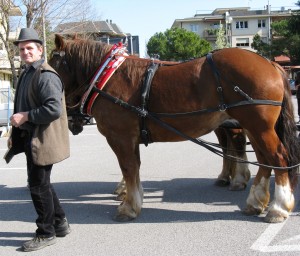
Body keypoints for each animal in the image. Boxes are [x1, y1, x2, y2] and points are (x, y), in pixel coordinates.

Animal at [49, 35, 300, 223]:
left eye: (53, 60)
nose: (71, 120)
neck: (108, 76)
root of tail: (270, 64)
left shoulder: (121, 137)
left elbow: (129, 169)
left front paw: (129, 206)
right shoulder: (130, 139)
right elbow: (134, 170)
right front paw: (132, 198)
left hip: (259, 127)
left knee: (277, 158)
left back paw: (278, 208)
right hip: (254, 128)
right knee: (263, 160)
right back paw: (255, 201)